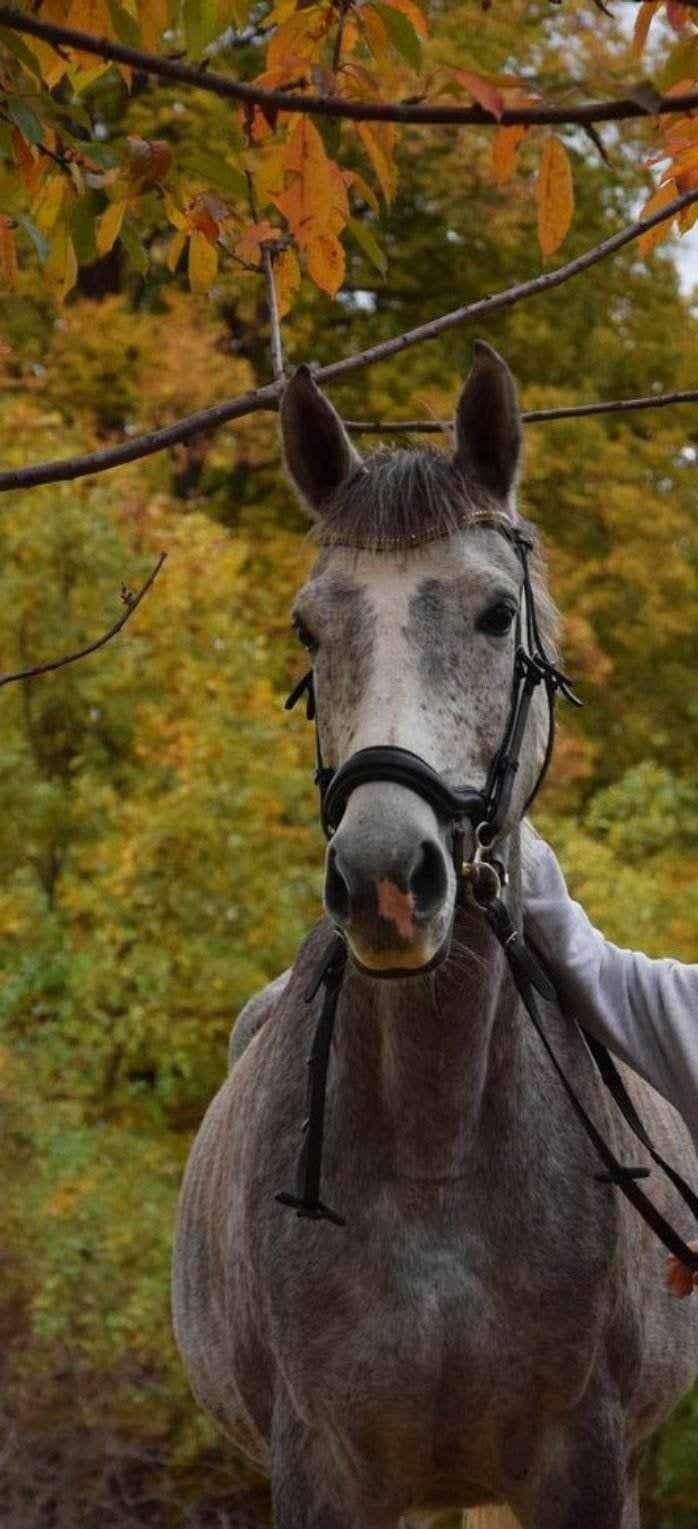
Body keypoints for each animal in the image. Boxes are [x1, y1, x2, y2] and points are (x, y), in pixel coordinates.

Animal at [172, 347, 696, 1529]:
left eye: (497, 615)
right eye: (308, 628)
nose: (384, 880)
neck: (434, 1147)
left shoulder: (584, 1463)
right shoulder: (321, 1465)